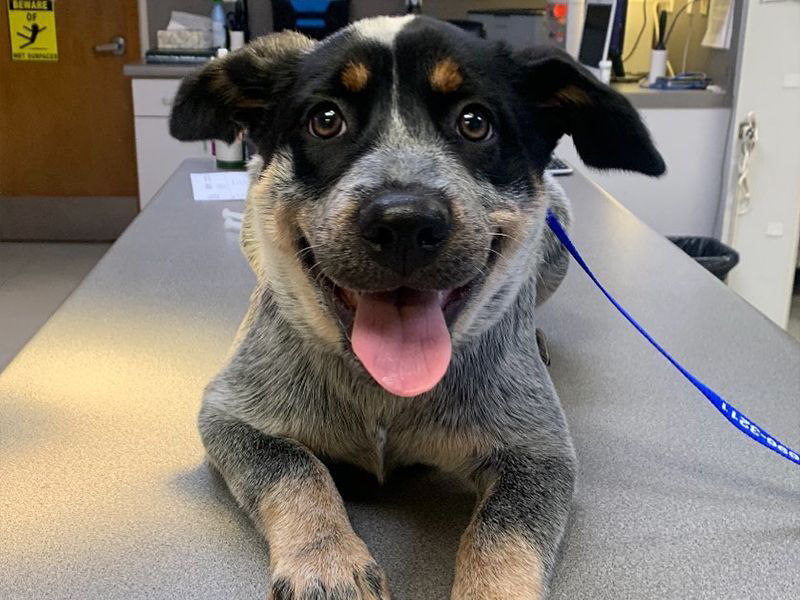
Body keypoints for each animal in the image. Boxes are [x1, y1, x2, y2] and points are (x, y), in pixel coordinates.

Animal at [169, 15, 664, 600]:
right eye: (326, 120)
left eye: (475, 122)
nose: (404, 221)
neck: (386, 394)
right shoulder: (229, 416)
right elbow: (294, 467)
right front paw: (328, 561)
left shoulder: (541, 453)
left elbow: (503, 534)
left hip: (558, 234)